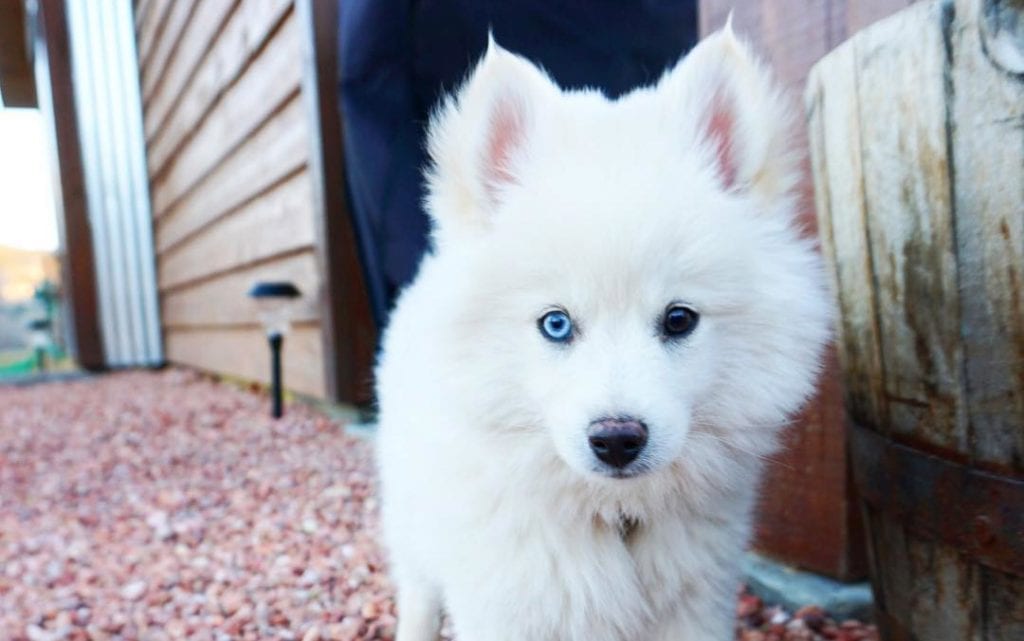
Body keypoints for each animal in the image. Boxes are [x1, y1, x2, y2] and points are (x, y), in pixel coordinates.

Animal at [376, 24, 831, 638]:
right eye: (556, 323)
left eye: (679, 319)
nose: (616, 440)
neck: (614, 515)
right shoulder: (508, 603)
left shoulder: (696, 603)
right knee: (418, 592)